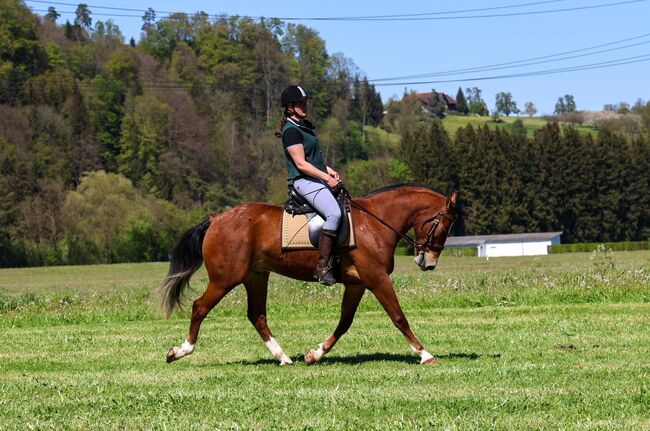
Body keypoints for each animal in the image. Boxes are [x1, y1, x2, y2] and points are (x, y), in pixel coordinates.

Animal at [161, 184, 456, 366]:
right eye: (443, 226)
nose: (428, 263)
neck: (374, 222)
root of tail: (216, 219)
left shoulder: (358, 284)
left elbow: (345, 322)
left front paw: (315, 354)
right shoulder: (377, 278)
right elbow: (398, 317)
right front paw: (425, 354)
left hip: (255, 276)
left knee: (257, 315)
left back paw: (283, 358)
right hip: (225, 279)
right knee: (200, 307)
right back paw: (180, 351)